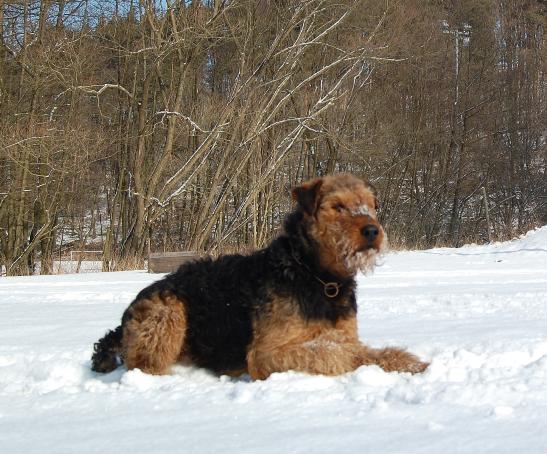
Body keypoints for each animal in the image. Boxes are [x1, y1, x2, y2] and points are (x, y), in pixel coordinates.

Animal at [93, 174, 428, 380]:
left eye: (370, 206)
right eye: (337, 206)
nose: (372, 231)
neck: (318, 277)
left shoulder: (344, 332)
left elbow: (359, 348)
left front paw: (411, 362)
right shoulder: (266, 354)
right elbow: (337, 352)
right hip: (169, 312)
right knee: (145, 365)